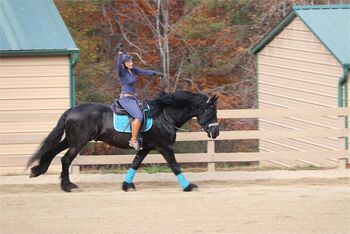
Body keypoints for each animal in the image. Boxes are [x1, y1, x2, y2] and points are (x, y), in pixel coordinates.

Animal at [26, 91, 219, 192]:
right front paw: (188, 186)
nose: (216, 132)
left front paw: (127, 185)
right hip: (78, 142)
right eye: (211, 111)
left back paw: (38, 170)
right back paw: (68, 186)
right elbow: (175, 166)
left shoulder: (145, 148)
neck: (164, 115)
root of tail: (72, 109)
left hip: (70, 140)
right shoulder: (164, 147)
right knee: (65, 160)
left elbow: (135, 164)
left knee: (52, 152)